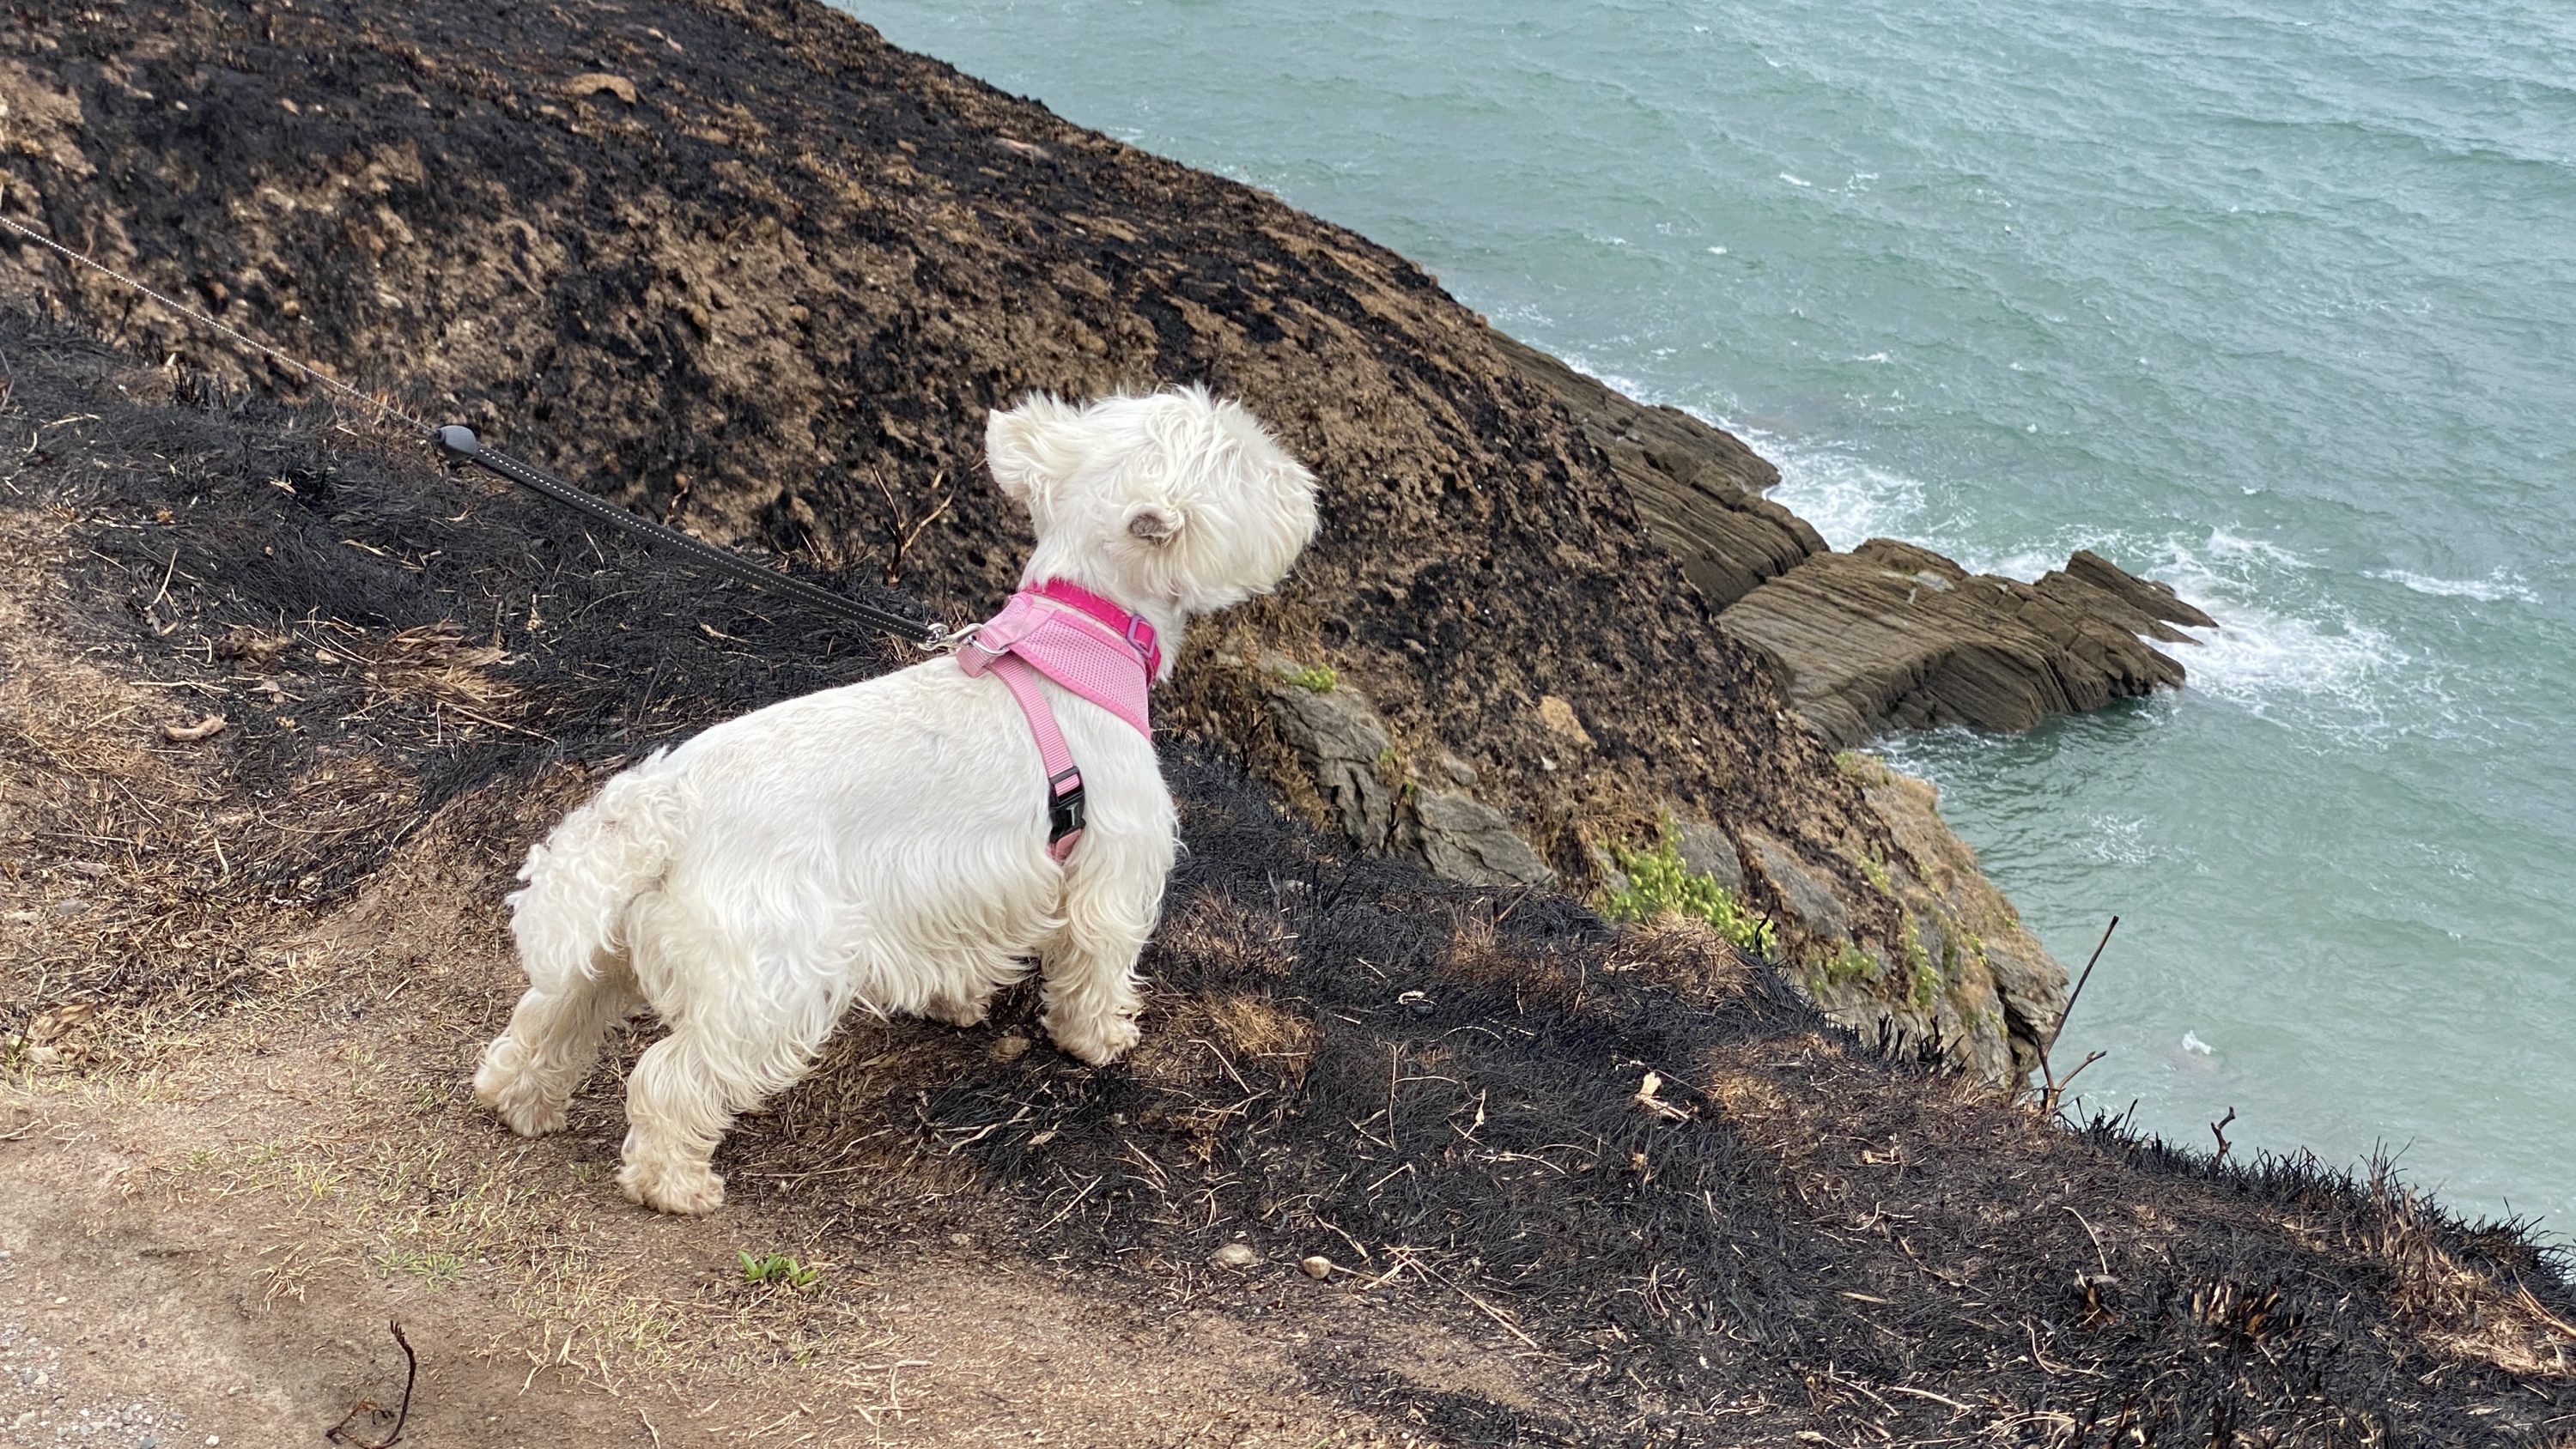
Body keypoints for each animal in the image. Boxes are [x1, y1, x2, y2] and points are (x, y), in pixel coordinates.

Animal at [472, 386, 1319, 1214]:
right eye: (1239, 458)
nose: (1304, 482)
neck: (1083, 637)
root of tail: (664, 802)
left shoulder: (965, 892)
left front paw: (959, 1003)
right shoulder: (1111, 872)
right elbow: (1097, 964)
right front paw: (1102, 1039)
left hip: (612, 949)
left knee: (551, 1015)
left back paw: (518, 1101)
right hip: (771, 983)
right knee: (672, 1077)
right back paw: (676, 1184)